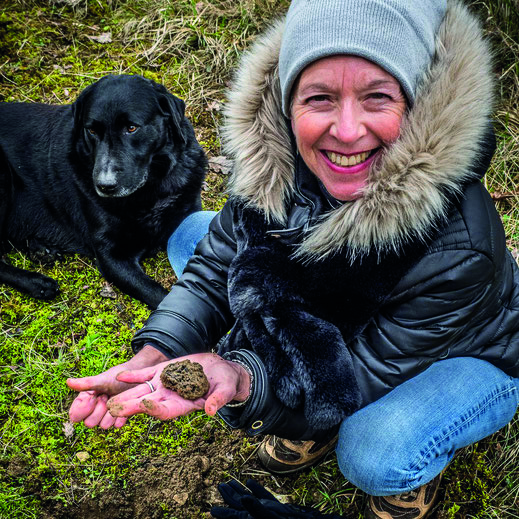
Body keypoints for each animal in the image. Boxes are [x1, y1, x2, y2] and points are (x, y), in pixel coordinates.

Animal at [0, 73, 207, 308]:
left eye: (131, 128)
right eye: (91, 130)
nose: (104, 186)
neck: (151, 190)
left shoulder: (190, 213)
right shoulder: (111, 256)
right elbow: (159, 295)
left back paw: (41, 249)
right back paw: (37, 283)